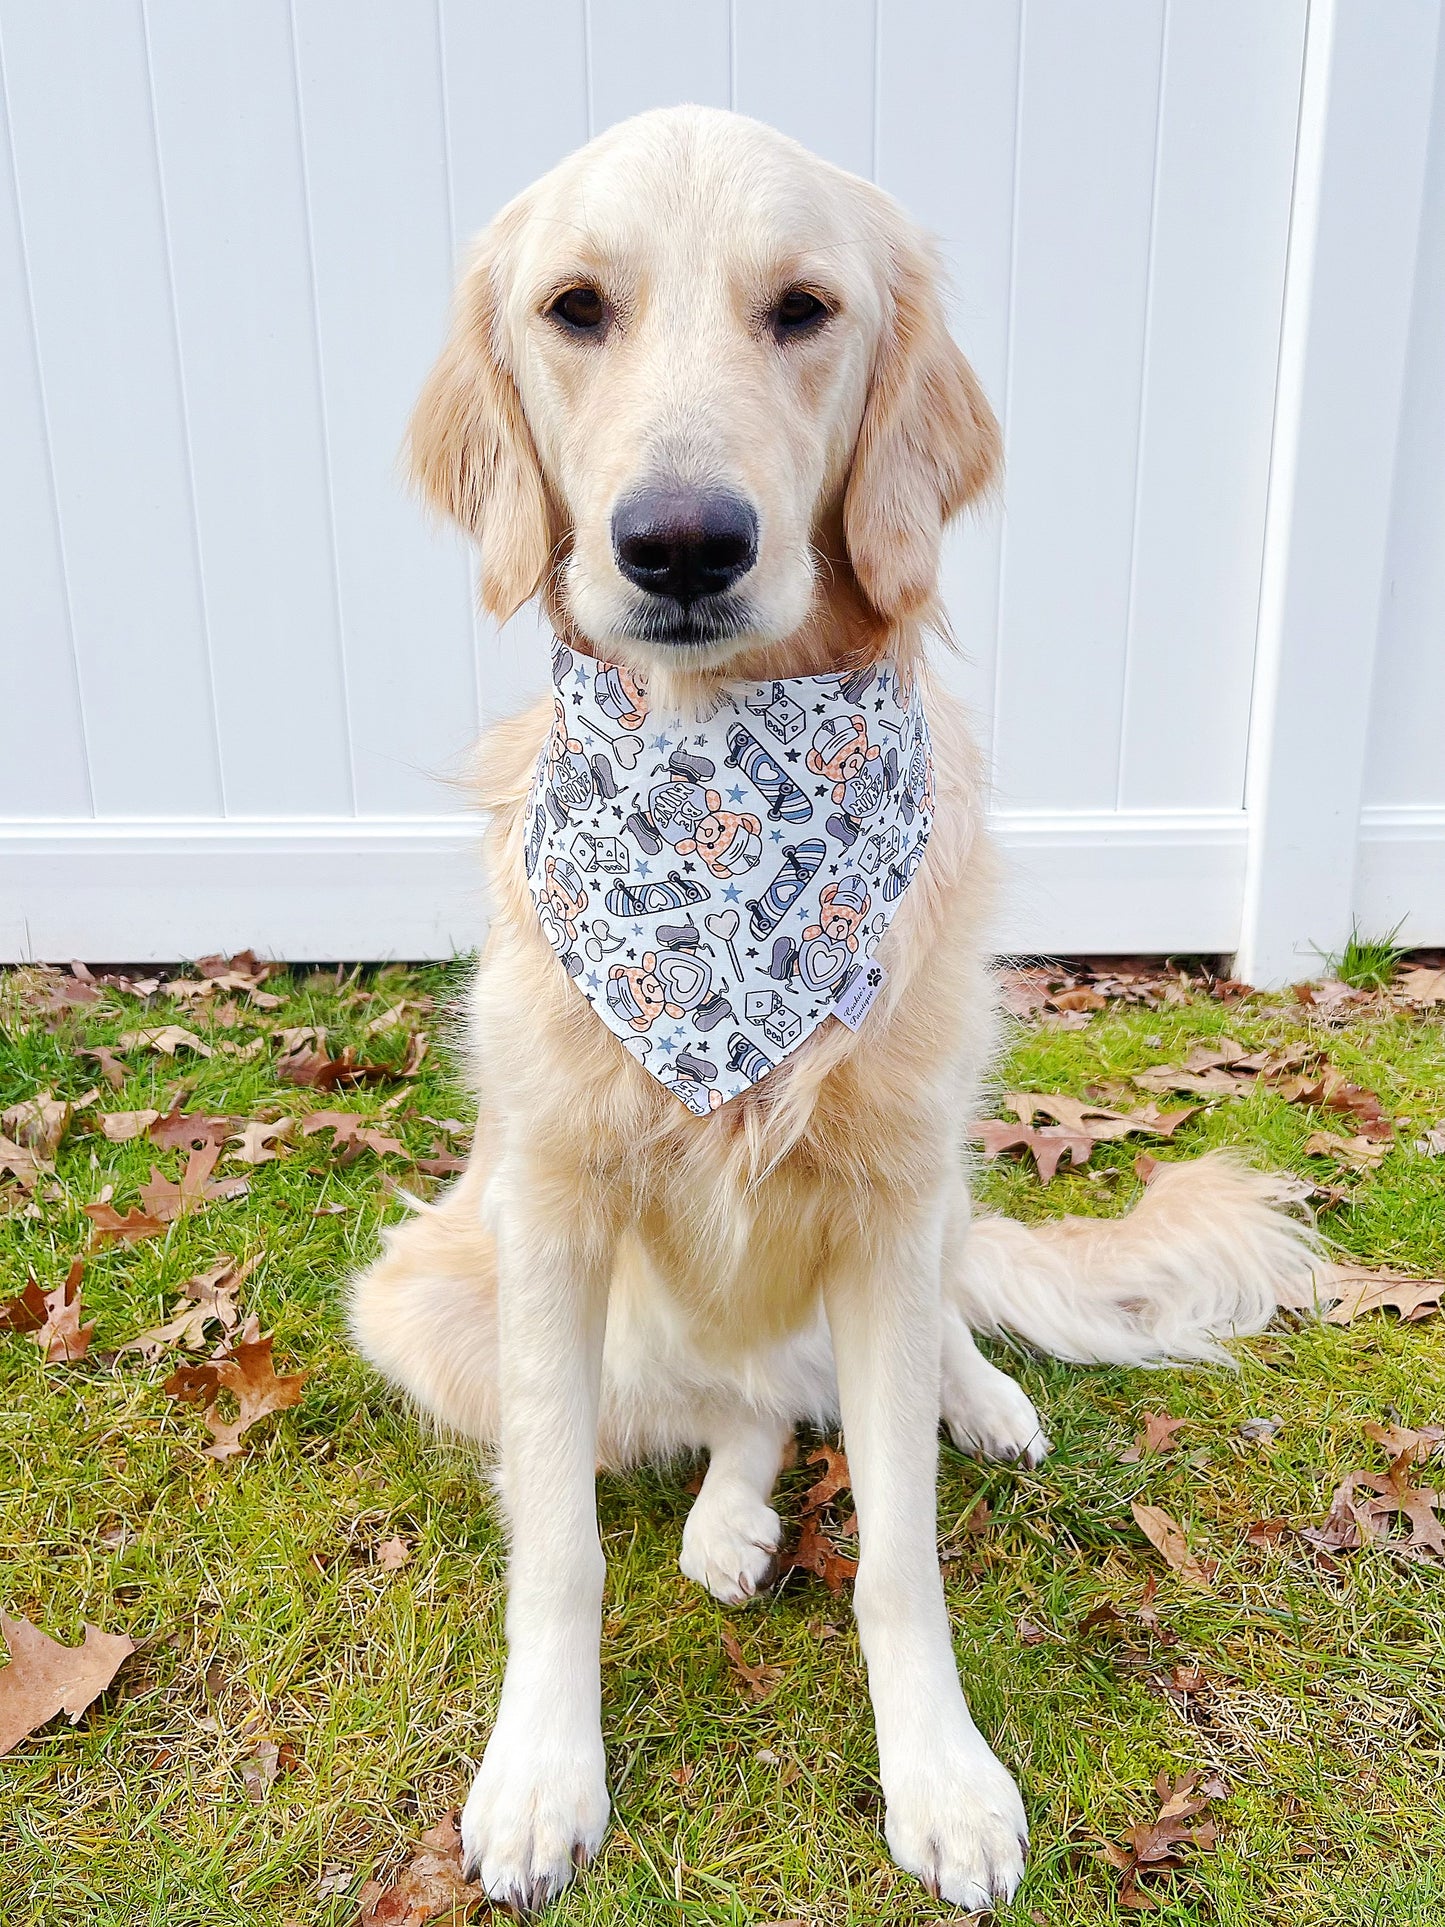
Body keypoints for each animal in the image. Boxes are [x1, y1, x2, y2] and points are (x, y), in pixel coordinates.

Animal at [354, 109, 1325, 1911]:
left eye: (802, 309)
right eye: (575, 307)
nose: (681, 541)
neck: (722, 808)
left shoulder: (884, 1204)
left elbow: (899, 1556)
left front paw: (940, 1775)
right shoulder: (546, 1214)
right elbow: (557, 1550)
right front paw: (541, 1770)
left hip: (933, 1180)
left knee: (888, 1346)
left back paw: (979, 1398)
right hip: (432, 1302)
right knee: (732, 1409)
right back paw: (729, 1516)